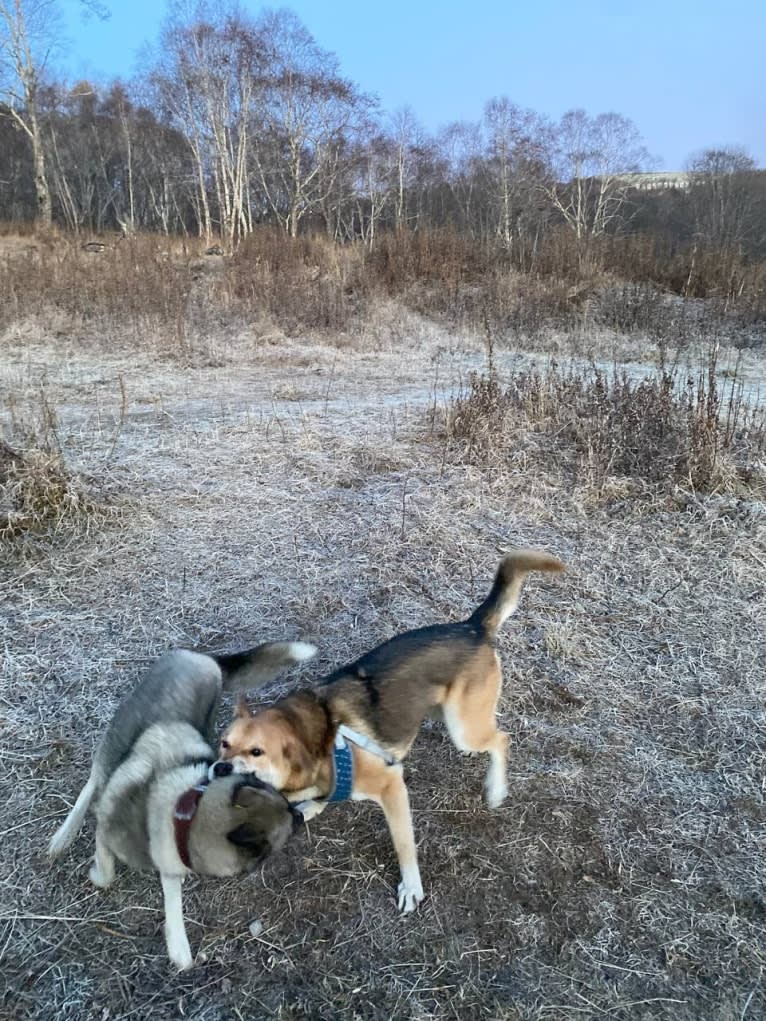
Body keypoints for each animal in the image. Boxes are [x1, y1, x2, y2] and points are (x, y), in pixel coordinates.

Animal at [48, 641, 318, 967]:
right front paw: (96, 873)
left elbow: (171, 894)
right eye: (289, 822)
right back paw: (63, 836)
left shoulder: (171, 858)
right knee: (94, 782)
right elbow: (106, 873)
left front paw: (178, 947)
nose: (299, 815)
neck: (181, 809)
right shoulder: (107, 828)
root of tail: (200, 657)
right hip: (118, 738)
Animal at [213, 555, 567, 914]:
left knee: (501, 739)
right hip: (443, 711)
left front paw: (411, 886)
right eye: (223, 745)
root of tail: (473, 626)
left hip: (463, 728)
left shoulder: (391, 785)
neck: (322, 740)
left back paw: (495, 789)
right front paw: (312, 806)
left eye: (257, 752)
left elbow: (403, 844)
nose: (219, 767)